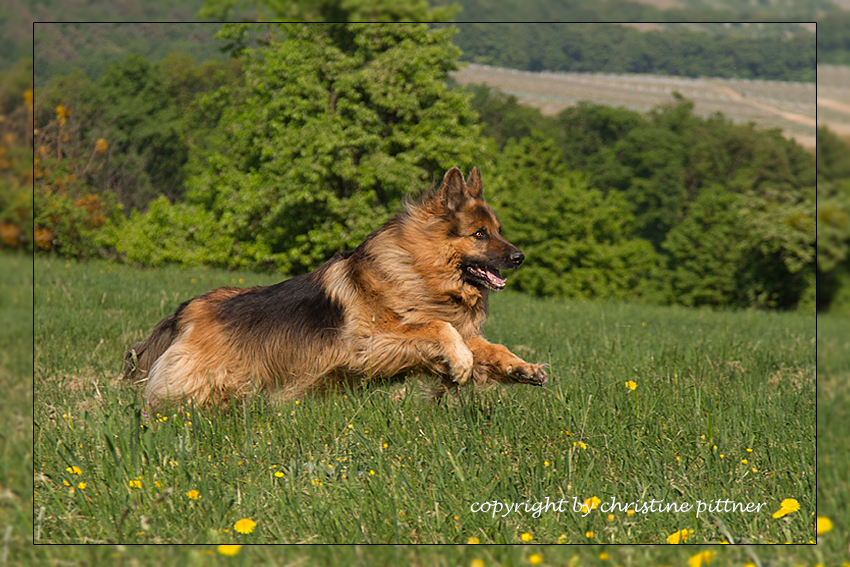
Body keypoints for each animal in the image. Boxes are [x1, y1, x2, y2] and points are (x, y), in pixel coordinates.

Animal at [124, 166, 548, 406]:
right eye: (479, 234)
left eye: (498, 231)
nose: (520, 257)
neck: (418, 269)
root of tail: (188, 308)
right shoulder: (375, 341)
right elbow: (441, 328)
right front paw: (460, 364)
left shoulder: (448, 333)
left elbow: (486, 346)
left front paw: (522, 368)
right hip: (205, 381)